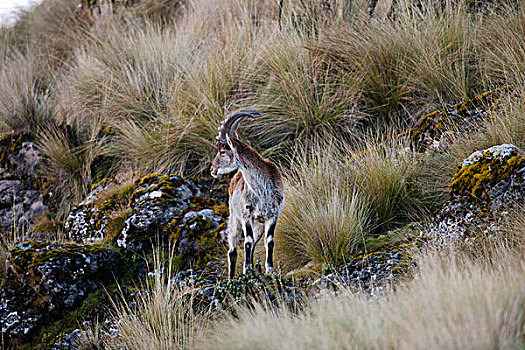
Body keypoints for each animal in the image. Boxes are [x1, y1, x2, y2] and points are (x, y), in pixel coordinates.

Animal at [210, 110, 284, 278]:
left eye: (222, 152)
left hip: (259, 225)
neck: (262, 191)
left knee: (254, 243)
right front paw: (247, 270)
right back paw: (231, 278)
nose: (212, 169)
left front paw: (269, 270)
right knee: (233, 250)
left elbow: (269, 241)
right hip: (234, 219)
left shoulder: (272, 216)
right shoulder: (246, 215)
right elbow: (247, 242)